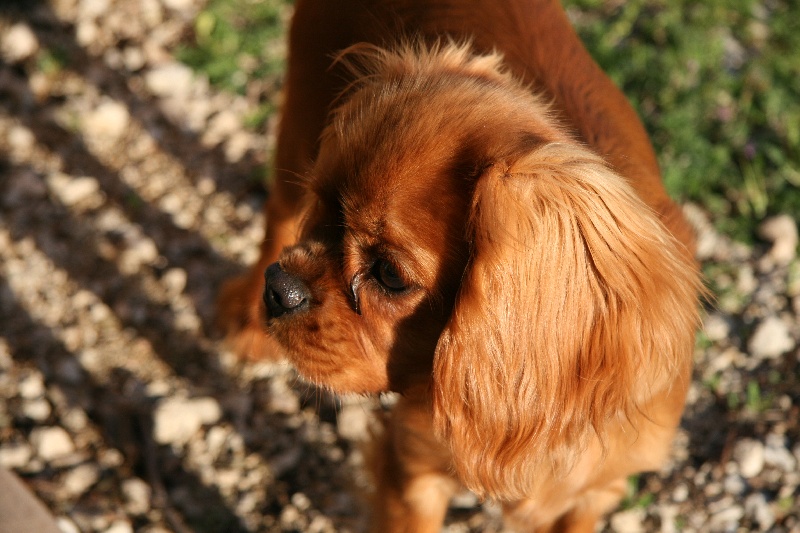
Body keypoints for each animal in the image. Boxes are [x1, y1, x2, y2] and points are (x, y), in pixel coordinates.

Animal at [217, 2, 700, 528]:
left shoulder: (595, 493)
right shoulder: (413, 471)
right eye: (322, 213)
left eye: (390, 275)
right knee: (277, 217)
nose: (279, 289)